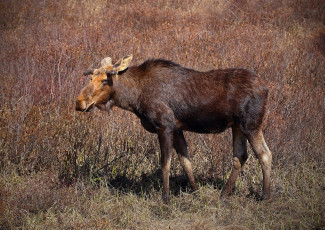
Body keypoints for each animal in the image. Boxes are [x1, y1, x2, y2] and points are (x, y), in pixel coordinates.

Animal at [75, 54, 270, 202]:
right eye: (91, 78)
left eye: (104, 80)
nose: (79, 102)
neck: (134, 98)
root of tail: (267, 88)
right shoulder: (177, 129)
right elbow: (185, 161)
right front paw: (195, 191)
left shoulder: (164, 126)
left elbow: (165, 164)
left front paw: (166, 197)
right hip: (238, 126)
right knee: (240, 156)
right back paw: (224, 194)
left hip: (251, 124)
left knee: (264, 155)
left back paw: (265, 196)